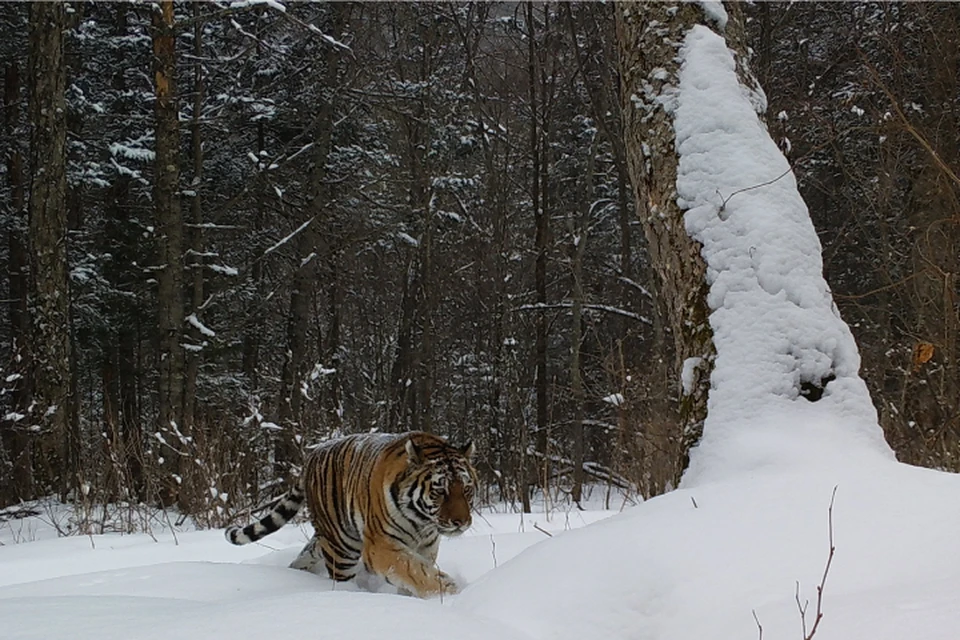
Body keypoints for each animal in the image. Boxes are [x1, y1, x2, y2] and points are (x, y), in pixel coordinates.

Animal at [226, 430, 480, 600]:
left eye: (466, 489)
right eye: (440, 491)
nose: (462, 522)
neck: (422, 522)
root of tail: (311, 456)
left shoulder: (426, 547)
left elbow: (416, 572)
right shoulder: (380, 546)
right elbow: (414, 570)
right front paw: (449, 592)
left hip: (328, 539)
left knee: (309, 552)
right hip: (342, 546)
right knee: (340, 578)